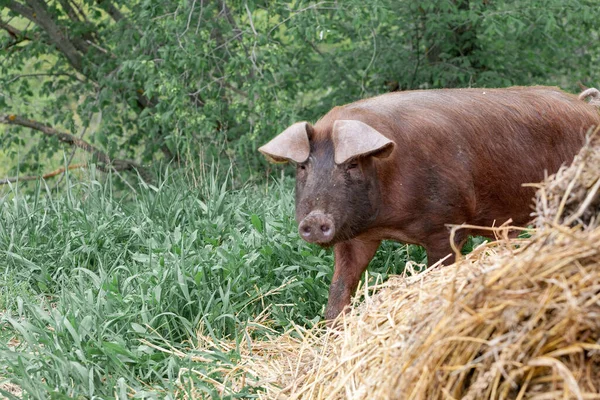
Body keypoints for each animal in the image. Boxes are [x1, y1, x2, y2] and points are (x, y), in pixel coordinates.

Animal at [260, 86, 600, 318]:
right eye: (302, 167)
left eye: (353, 164)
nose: (315, 220)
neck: (390, 222)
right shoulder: (356, 238)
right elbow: (341, 286)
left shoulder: (447, 226)